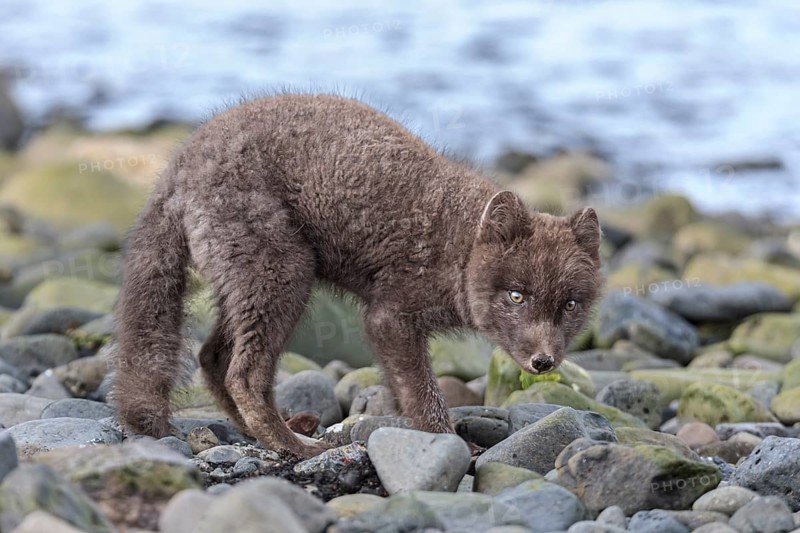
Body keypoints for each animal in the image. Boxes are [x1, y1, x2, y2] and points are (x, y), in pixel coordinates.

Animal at [112, 94, 602, 458]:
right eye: (517, 296)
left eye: (570, 305)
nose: (544, 362)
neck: (459, 248)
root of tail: (178, 165)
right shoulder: (389, 318)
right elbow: (423, 395)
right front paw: (450, 446)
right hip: (285, 273)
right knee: (244, 375)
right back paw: (295, 446)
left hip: (245, 285)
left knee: (212, 358)